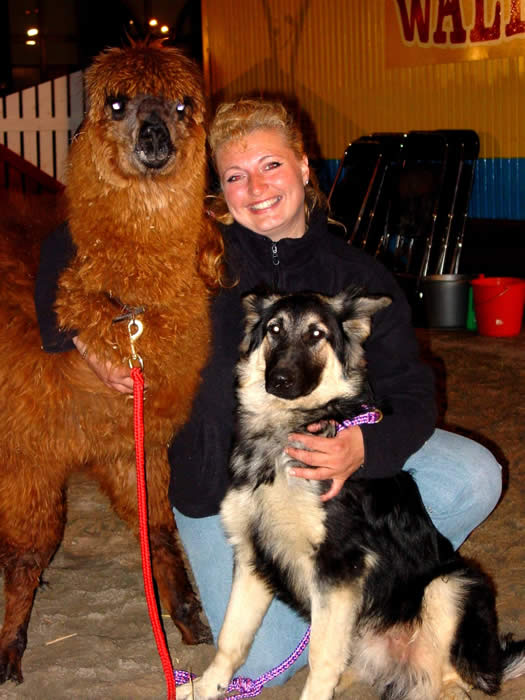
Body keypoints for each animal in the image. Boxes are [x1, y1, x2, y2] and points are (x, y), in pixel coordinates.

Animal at [180, 286, 524, 700]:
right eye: (274, 330)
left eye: (316, 334)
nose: (278, 380)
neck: (286, 432)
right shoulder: (252, 557)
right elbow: (232, 638)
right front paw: (207, 686)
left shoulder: (338, 568)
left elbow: (320, 655)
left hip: (451, 586)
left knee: (445, 680)